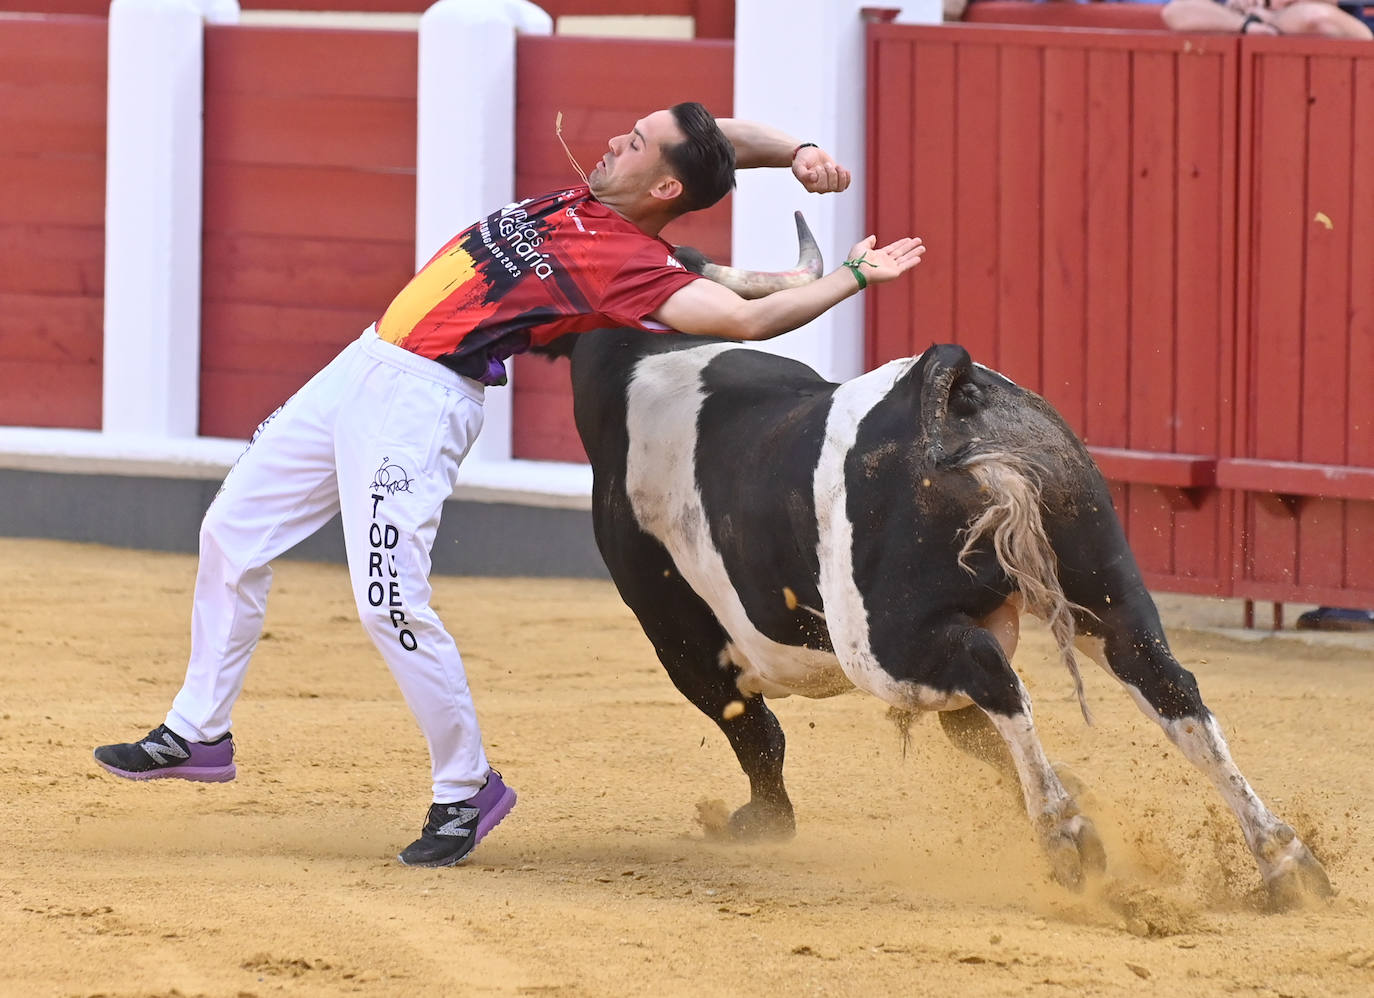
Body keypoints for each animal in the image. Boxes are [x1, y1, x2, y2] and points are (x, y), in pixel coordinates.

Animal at [544, 217, 1330, 907]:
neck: (650, 361)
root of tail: (950, 381)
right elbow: (974, 734)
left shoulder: (682, 640)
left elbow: (753, 728)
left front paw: (762, 823)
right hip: (1101, 588)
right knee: (1165, 682)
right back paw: (1284, 859)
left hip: (883, 647)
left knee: (997, 679)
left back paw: (1067, 838)